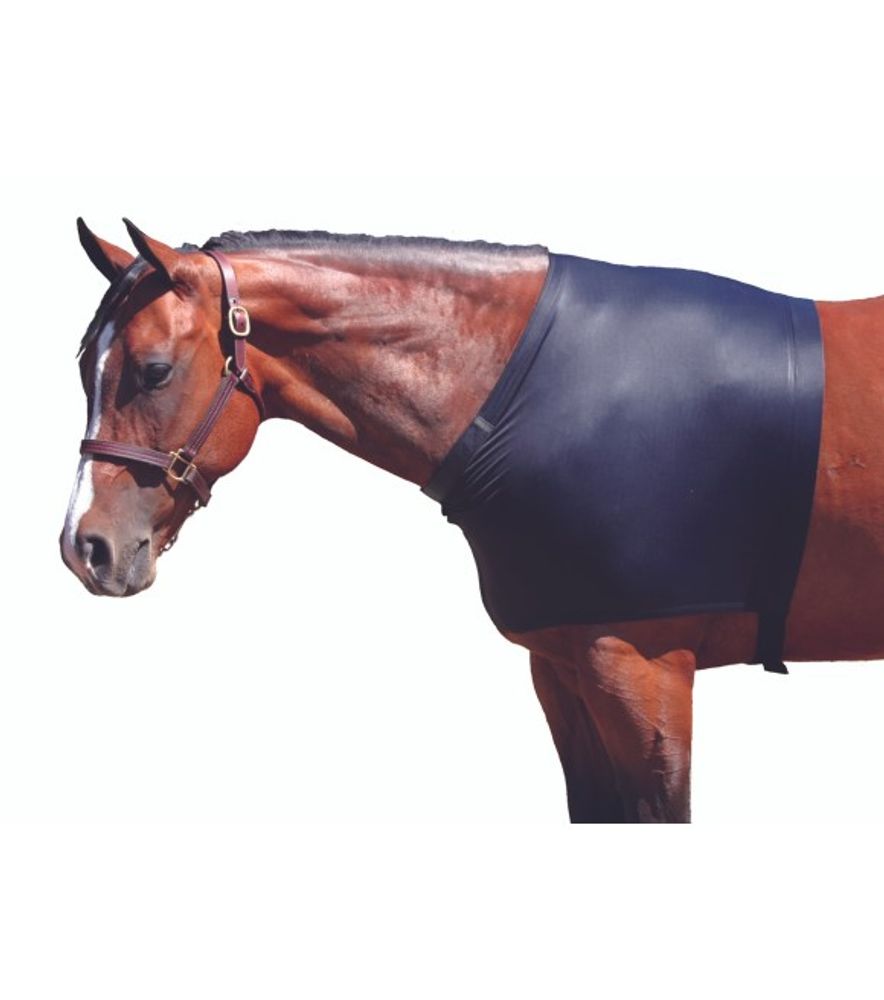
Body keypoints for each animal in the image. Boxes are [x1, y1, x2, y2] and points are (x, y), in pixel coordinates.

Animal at [60, 218, 884, 823]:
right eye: (83, 367)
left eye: (154, 371)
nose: (85, 546)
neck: (527, 394)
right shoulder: (562, 666)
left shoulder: (645, 668)